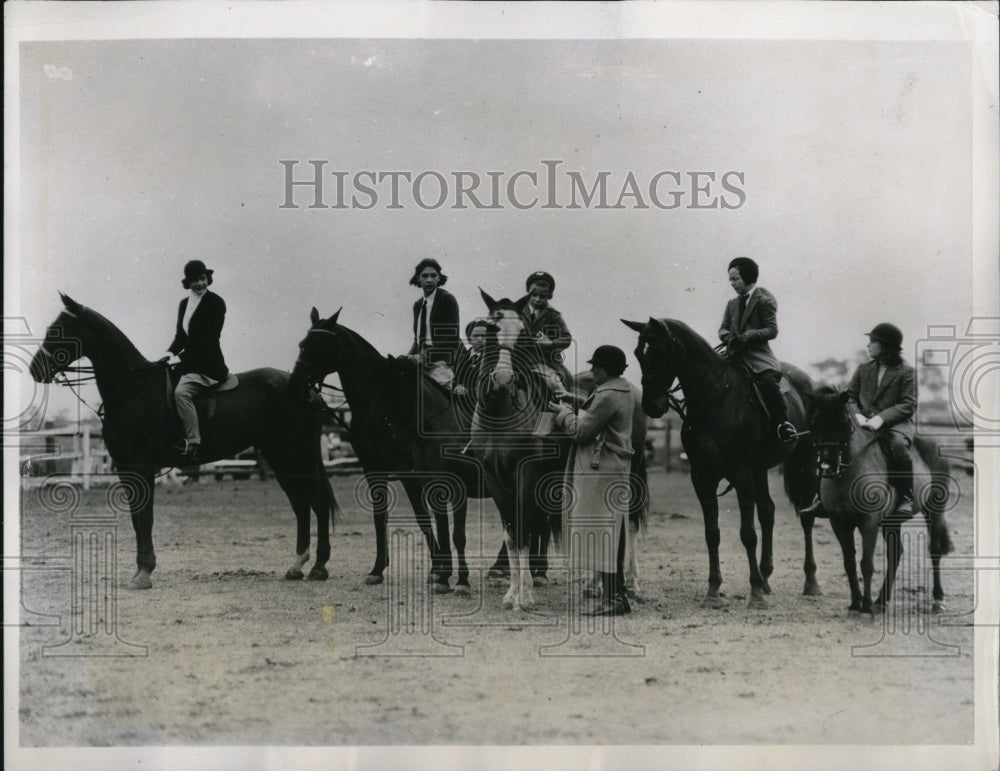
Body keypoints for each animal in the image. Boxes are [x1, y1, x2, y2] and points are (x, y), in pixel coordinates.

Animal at [29, 296, 340, 592]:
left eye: (60, 330)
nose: (35, 370)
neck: (134, 390)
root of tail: (307, 388)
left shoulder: (140, 467)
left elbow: (145, 518)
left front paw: (145, 573)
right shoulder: (125, 467)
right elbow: (136, 519)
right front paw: (139, 571)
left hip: (297, 453)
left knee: (317, 501)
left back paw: (319, 568)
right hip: (281, 456)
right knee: (301, 504)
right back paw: (297, 566)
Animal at [290, 310, 484, 596]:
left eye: (320, 345)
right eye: (303, 344)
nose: (294, 384)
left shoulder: (409, 474)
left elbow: (424, 519)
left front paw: (439, 571)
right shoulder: (374, 469)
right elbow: (382, 516)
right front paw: (379, 569)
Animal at [624, 318, 820, 608]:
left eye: (659, 352)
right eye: (638, 354)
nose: (651, 406)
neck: (715, 398)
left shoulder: (742, 474)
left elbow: (748, 534)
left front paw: (755, 594)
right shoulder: (702, 477)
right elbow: (712, 533)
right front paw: (714, 591)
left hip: (803, 462)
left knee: (806, 515)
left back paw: (809, 582)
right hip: (760, 469)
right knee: (768, 511)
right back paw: (766, 578)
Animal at [804, 390, 952, 620]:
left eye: (843, 422)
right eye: (814, 422)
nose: (827, 466)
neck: (848, 472)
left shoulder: (869, 521)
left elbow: (866, 564)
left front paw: (865, 607)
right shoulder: (839, 523)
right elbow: (849, 562)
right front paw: (855, 603)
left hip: (934, 510)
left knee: (934, 550)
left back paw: (937, 600)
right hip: (892, 520)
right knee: (895, 553)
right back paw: (881, 601)